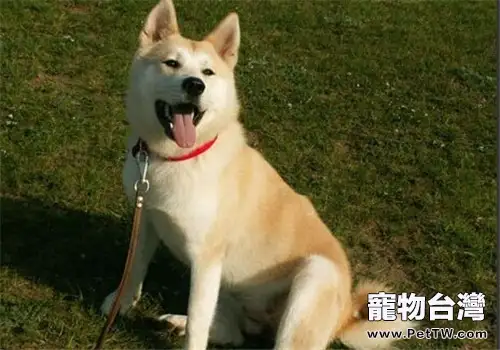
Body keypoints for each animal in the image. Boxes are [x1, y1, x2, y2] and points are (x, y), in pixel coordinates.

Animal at [101, 1, 414, 348]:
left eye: (207, 72)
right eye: (171, 63)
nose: (195, 85)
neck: (175, 158)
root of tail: (345, 314)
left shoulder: (206, 260)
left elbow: (198, 324)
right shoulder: (147, 219)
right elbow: (134, 268)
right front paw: (120, 303)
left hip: (311, 278)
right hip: (229, 287)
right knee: (234, 332)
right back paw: (178, 323)